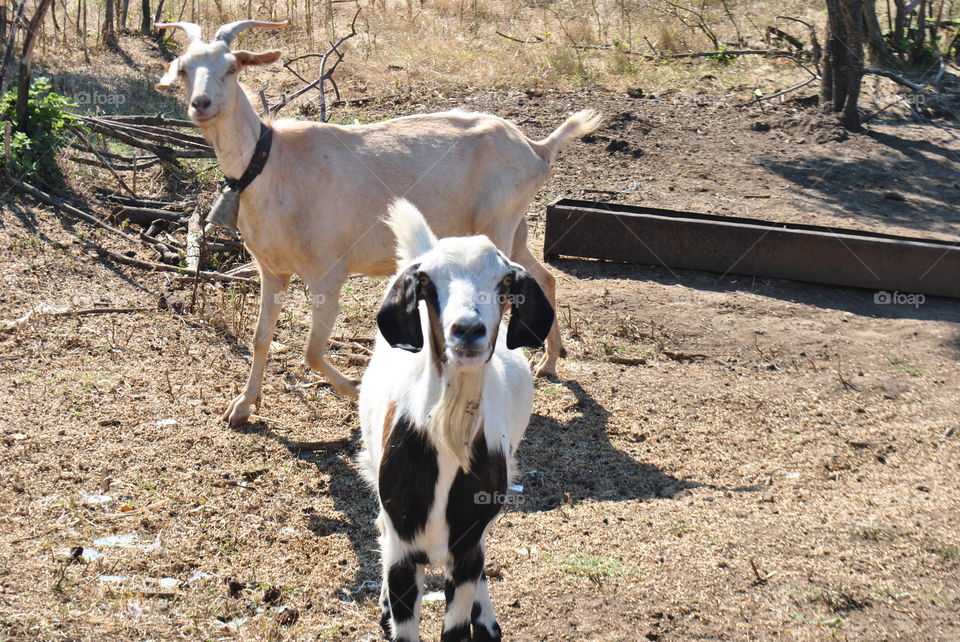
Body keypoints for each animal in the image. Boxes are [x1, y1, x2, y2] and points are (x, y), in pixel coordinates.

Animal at [358, 200, 556, 640]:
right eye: (427, 284)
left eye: (504, 281)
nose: (467, 329)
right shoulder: (402, 548)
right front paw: (388, 610)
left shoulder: (466, 547)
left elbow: (455, 626)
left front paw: (480, 621)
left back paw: (487, 621)